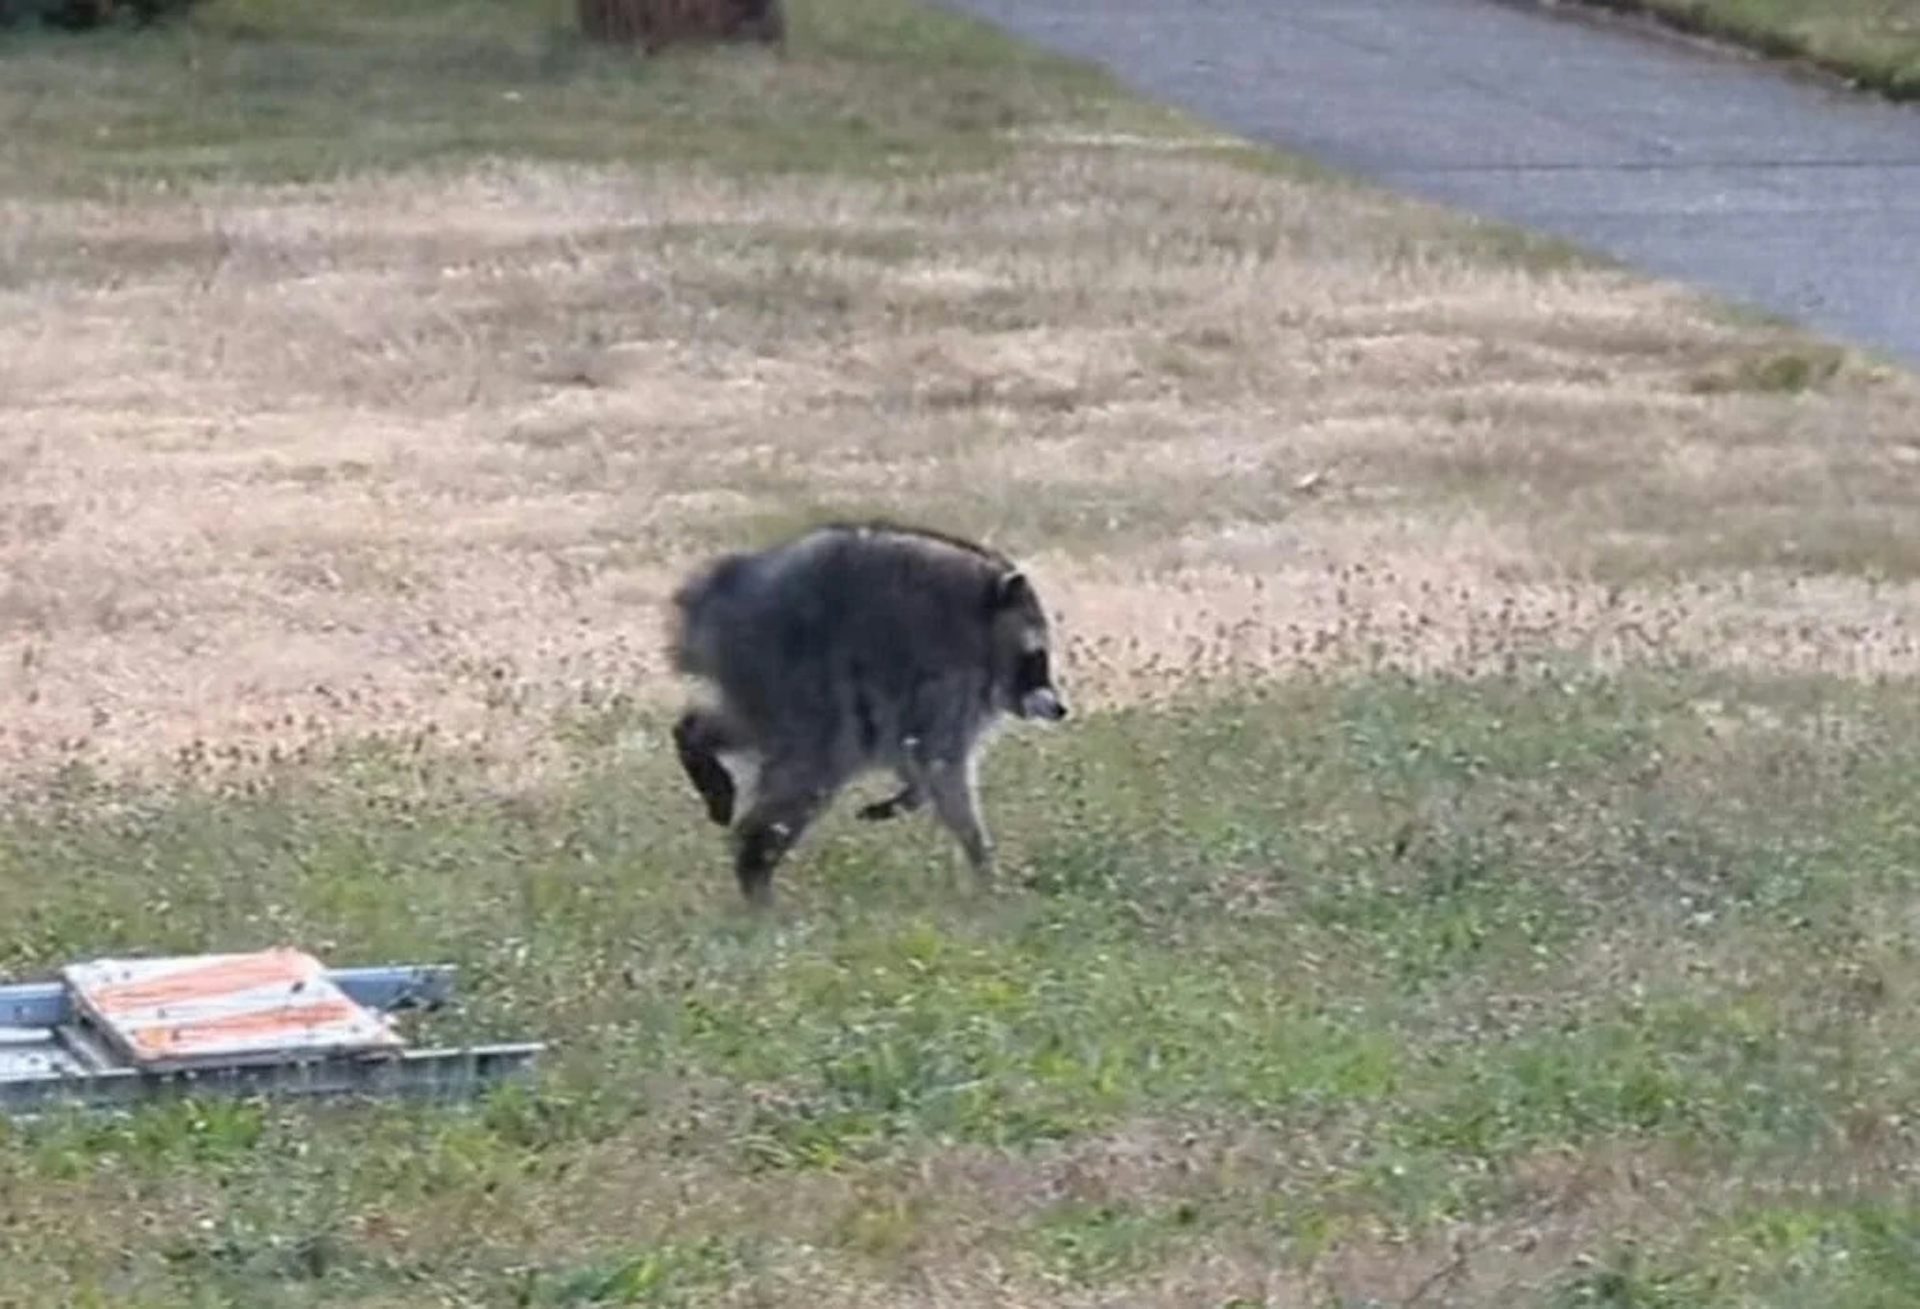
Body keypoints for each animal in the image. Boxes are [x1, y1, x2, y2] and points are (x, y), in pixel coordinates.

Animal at [666, 520, 1068, 904]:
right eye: (1038, 658)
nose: (1061, 708)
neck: (985, 623)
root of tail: (718, 594)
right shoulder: (950, 682)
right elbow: (941, 766)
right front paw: (981, 858)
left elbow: (917, 759)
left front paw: (911, 798)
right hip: (791, 671)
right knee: (814, 764)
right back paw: (755, 865)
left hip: (761, 681)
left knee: (747, 728)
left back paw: (694, 739)